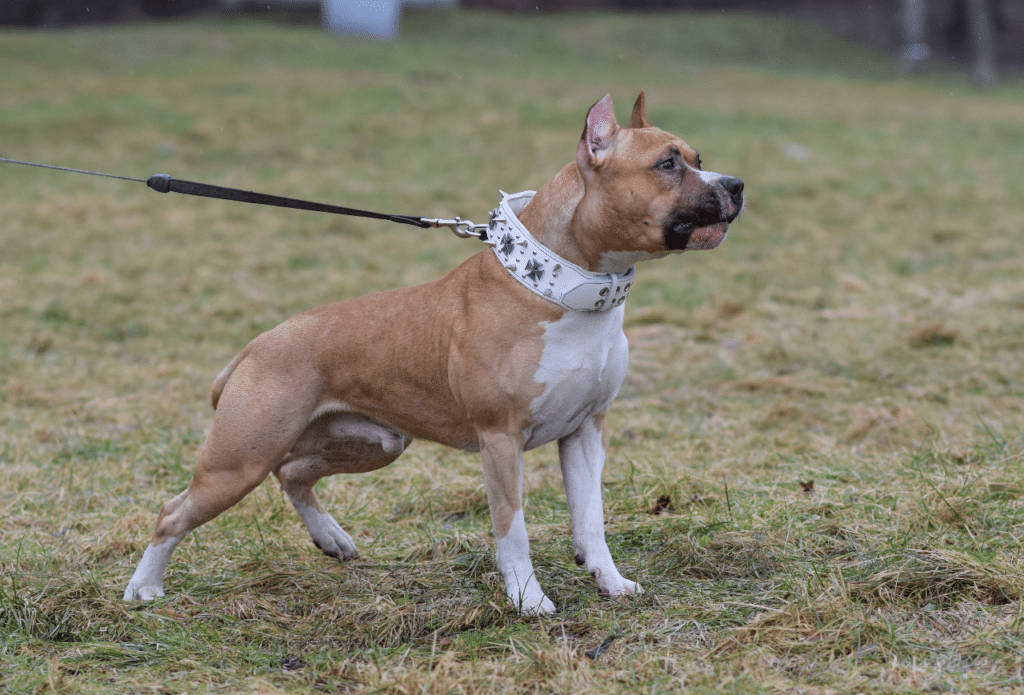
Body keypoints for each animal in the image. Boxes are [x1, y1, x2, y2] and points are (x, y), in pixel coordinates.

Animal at [123, 91, 745, 614]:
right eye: (667, 165)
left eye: (698, 157)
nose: (737, 184)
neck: (565, 290)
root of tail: (258, 343)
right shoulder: (501, 439)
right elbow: (512, 529)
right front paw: (528, 600)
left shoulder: (586, 431)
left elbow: (591, 520)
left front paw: (611, 582)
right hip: (239, 460)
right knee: (176, 511)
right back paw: (144, 588)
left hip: (373, 442)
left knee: (293, 472)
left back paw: (332, 539)